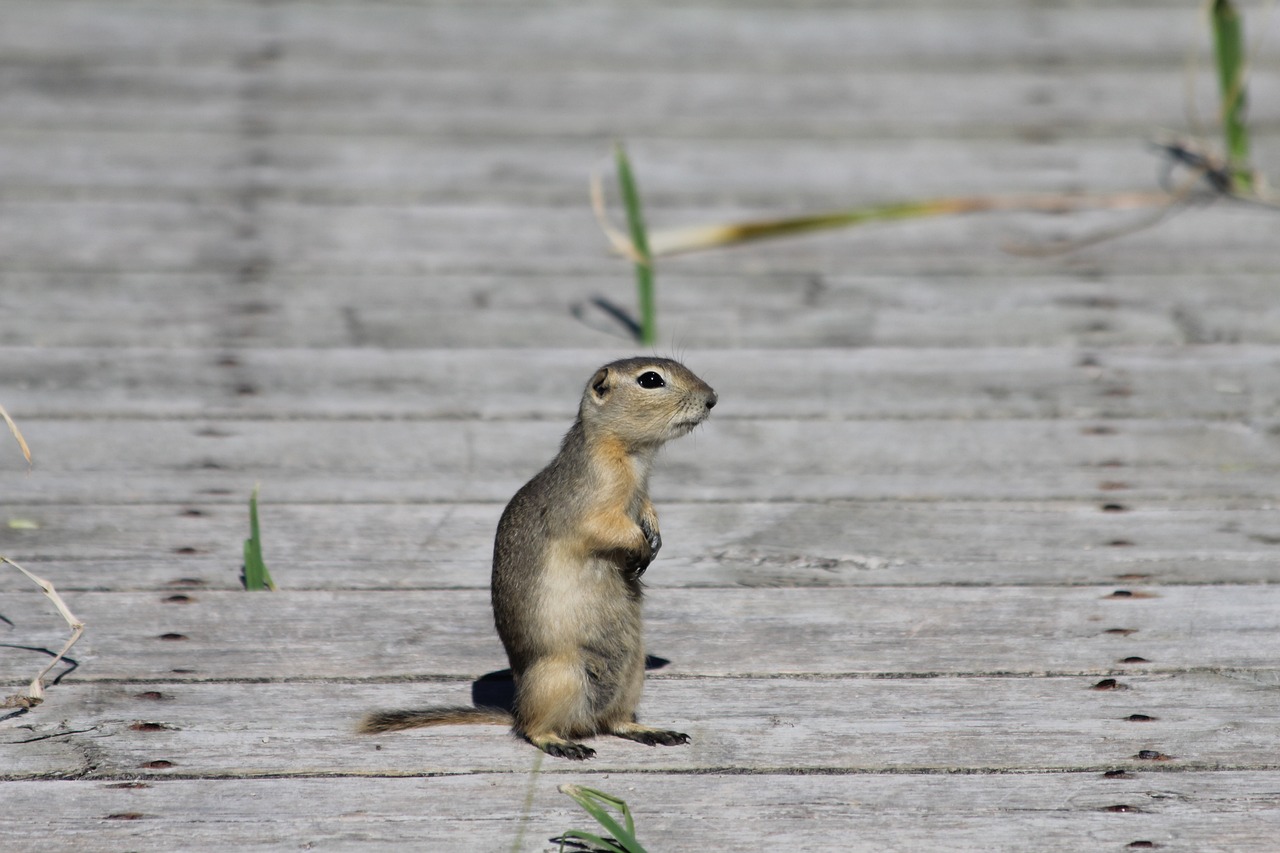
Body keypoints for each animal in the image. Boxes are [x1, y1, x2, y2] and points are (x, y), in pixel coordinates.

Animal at [360, 356, 716, 753]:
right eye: (651, 380)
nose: (712, 398)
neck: (632, 458)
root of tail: (515, 710)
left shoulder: (642, 495)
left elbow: (648, 511)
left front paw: (655, 535)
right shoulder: (588, 504)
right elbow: (604, 527)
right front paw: (640, 544)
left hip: (632, 672)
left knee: (614, 721)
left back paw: (653, 731)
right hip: (559, 675)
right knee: (534, 727)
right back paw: (562, 743)